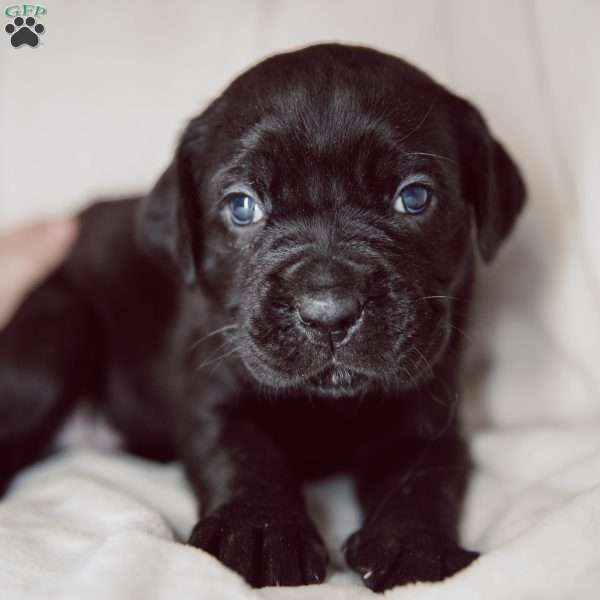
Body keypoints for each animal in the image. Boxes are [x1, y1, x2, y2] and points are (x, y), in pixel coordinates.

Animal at [0, 45, 524, 592]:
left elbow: (426, 478)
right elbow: (243, 453)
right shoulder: (213, 390)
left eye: (414, 197)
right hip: (58, 329)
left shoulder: (429, 410)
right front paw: (259, 531)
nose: (329, 313)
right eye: (241, 206)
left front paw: (412, 545)